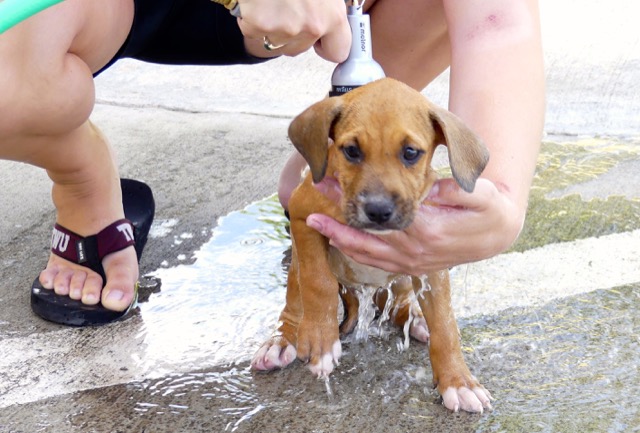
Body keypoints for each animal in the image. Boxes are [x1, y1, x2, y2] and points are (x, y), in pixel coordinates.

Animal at [252, 77, 492, 412]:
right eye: (351, 151)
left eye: (410, 152)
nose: (378, 210)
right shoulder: (303, 216)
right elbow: (318, 282)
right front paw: (321, 340)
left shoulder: (431, 261)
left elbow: (445, 324)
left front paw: (459, 382)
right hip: (296, 266)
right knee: (295, 302)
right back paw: (282, 340)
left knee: (399, 308)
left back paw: (417, 320)